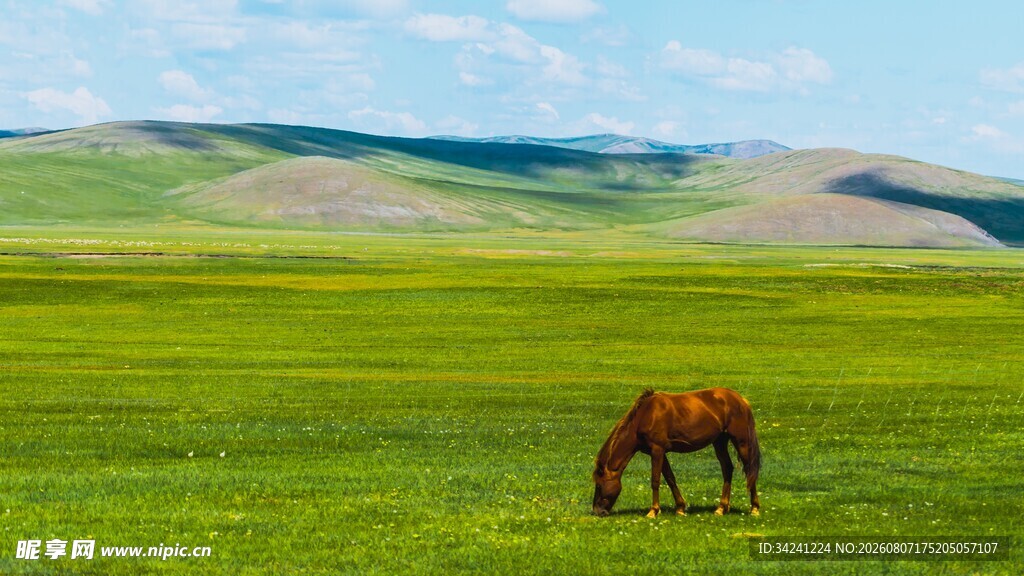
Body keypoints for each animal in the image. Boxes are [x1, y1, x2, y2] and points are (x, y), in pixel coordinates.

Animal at [592, 387, 761, 518]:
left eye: (599, 485)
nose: (597, 512)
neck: (645, 415)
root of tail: (741, 400)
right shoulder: (659, 452)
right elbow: (670, 479)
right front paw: (680, 508)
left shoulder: (657, 450)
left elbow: (655, 481)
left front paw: (653, 511)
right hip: (719, 441)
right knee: (727, 468)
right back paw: (721, 508)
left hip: (741, 442)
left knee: (749, 470)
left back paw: (754, 508)